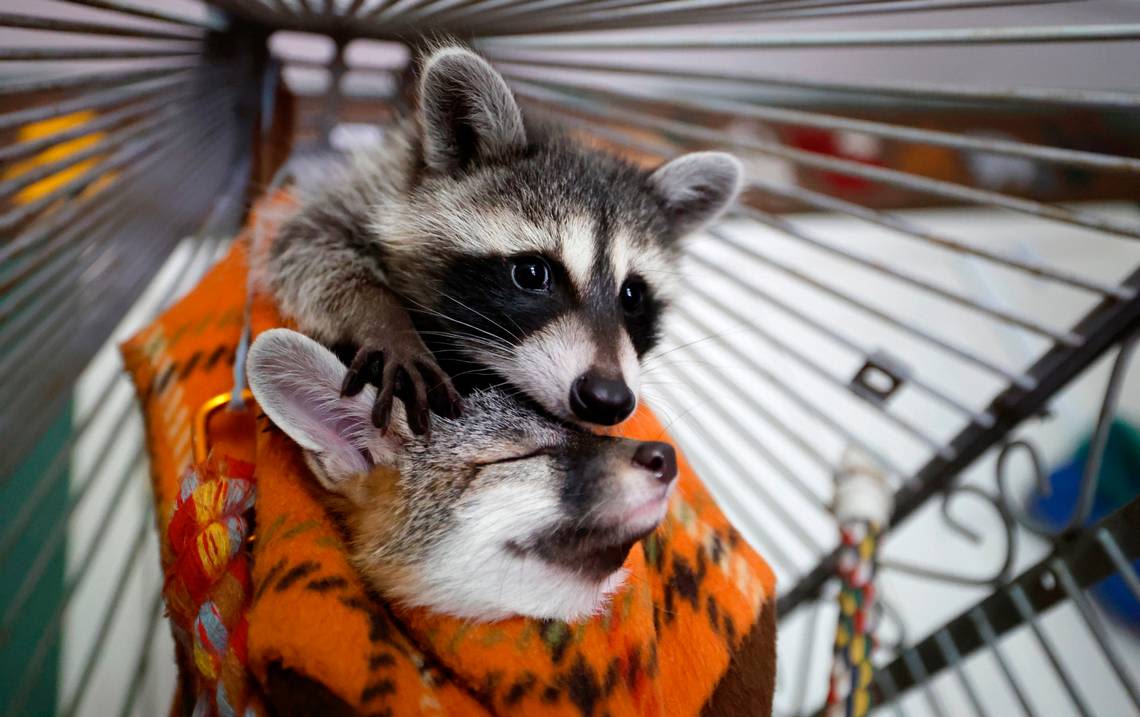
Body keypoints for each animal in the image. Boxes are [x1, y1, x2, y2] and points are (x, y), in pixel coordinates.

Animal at [267, 46, 747, 435]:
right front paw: (382, 316)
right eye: (533, 273)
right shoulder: (366, 191)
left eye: (633, 295)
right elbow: (305, 243)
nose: (607, 398)